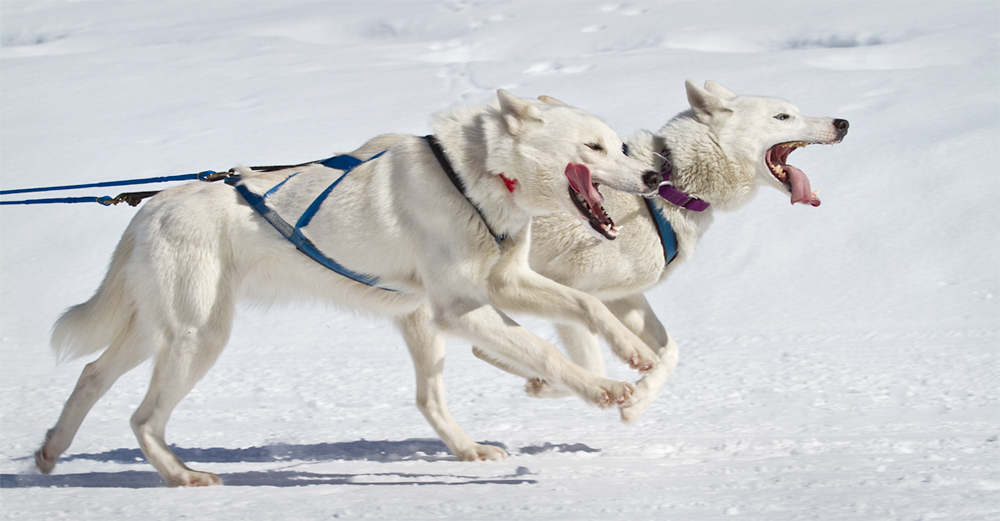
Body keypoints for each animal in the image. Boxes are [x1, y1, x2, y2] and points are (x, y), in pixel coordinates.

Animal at [37, 90, 664, 488]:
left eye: (618, 145)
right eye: (593, 148)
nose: (655, 177)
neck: (472, 178)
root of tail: (152, 207)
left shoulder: (504, 285)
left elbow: (586, 304)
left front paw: (635, 354)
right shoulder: (460, 308)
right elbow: (545, 351)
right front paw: (605, 389)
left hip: (166, 332)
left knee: (91, 375)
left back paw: (50, 450)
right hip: (197, 338)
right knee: (143, 419)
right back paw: (181, 476)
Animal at [348, 80, 848, 422]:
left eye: (795, 112)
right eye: (783, 117)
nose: (842, 122)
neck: (665, 189)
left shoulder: (624, 297)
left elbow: (668, 352)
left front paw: (639, 396)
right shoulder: (571, 287)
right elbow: (584, 357)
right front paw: (572, 388)